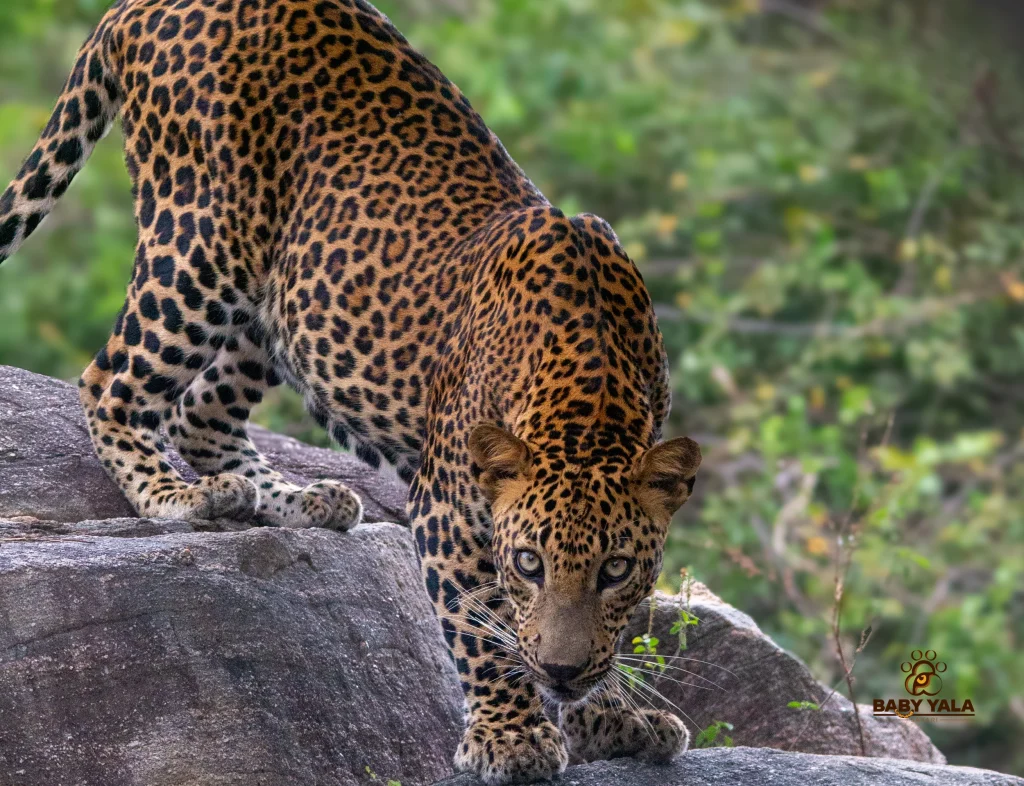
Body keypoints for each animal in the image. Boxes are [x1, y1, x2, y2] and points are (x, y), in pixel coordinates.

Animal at [0, 0, 702, 782]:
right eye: (528, 563)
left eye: (616, 570)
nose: (561, 674)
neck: (589, 398)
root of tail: (137, 6)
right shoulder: (447, 510)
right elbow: (480, 625)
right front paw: (512, 738)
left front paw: (611, 716)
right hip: (201, 245)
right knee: (111, 381)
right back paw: (180, 497)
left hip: (283, 299)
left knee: (200, 414)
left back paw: (300, 500)